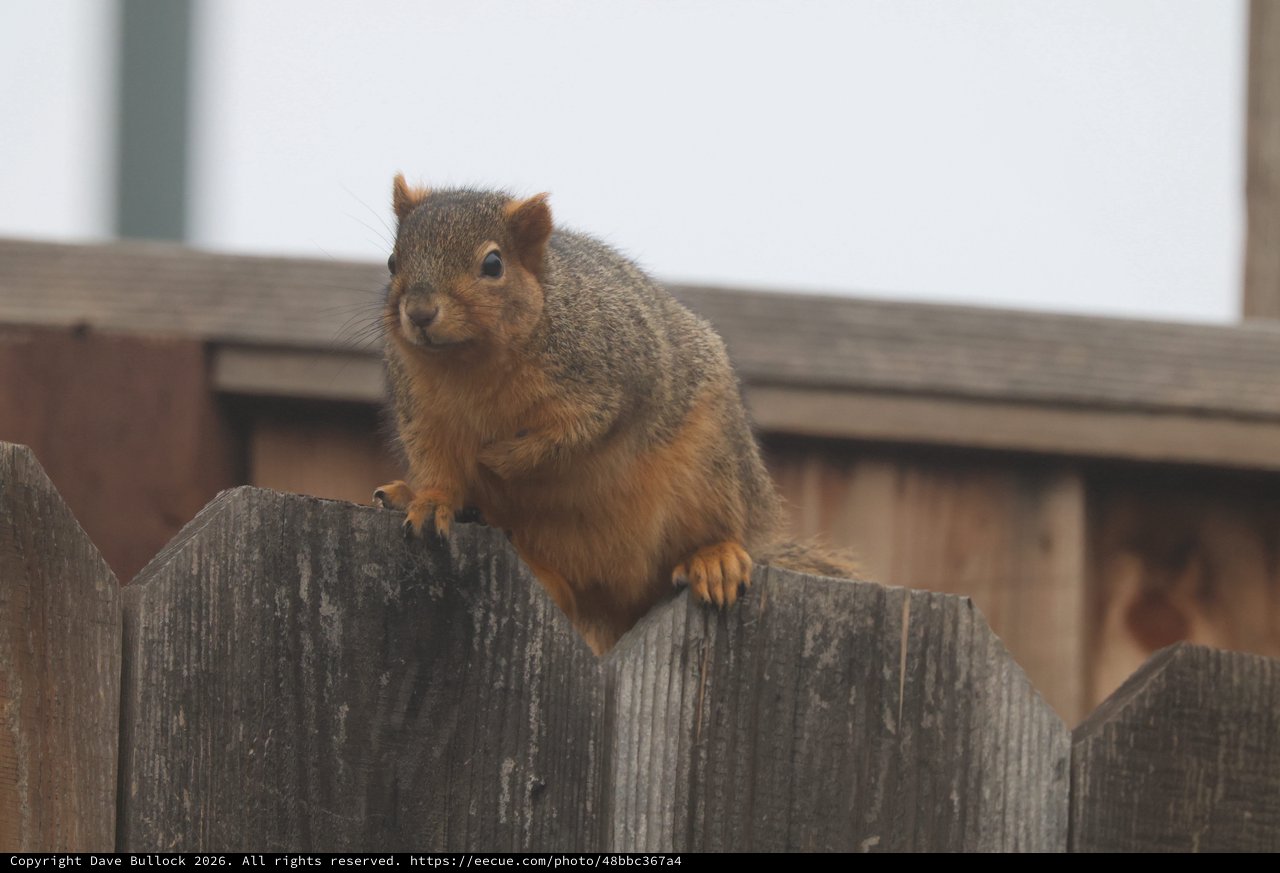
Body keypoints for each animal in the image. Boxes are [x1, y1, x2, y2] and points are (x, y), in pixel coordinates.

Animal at [373, 176, 856, 654]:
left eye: (493, 264)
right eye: (393, 262)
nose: (419, 313)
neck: (470, 365)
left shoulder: (613, 382)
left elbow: (574, 435)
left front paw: (500, 458)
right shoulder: (422, 414)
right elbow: (436, 466)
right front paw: (432, 500)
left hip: (712, 471)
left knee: (715, 529)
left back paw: (715, 558)